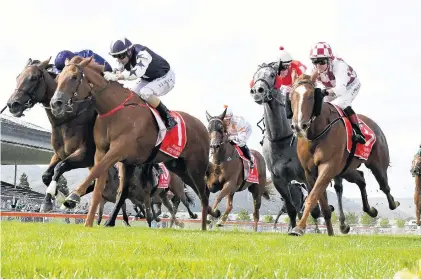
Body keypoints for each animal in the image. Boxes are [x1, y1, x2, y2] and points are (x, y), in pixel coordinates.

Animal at [50, 55, 217, 229]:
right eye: (58, 78)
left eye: (74, 77)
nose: (55, 103)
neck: (114, 110)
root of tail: (203, 126)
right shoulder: (102, 152)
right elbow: (98, 186)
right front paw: (88, 222)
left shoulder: (119, 149)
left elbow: (97, 170)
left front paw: (73, 196)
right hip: (179, 167)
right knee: (198, 192)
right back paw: (212, 215)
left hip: (196, 166)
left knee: (203, 194)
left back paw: (204, 226)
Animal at [288, 73, 398, 235]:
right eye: (291, 96)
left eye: (311, 96)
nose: (298, 125)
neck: (316, 133)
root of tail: (375, 126)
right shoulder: (310, 172)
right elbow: (323, 206)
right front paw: (330, 233)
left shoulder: (328, 166)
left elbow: (312, 197)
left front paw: (299, 228)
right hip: (346, 169)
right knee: (361, 179)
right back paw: (370, 210)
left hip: (377, 164)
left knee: (384, 186)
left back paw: (393, 203)